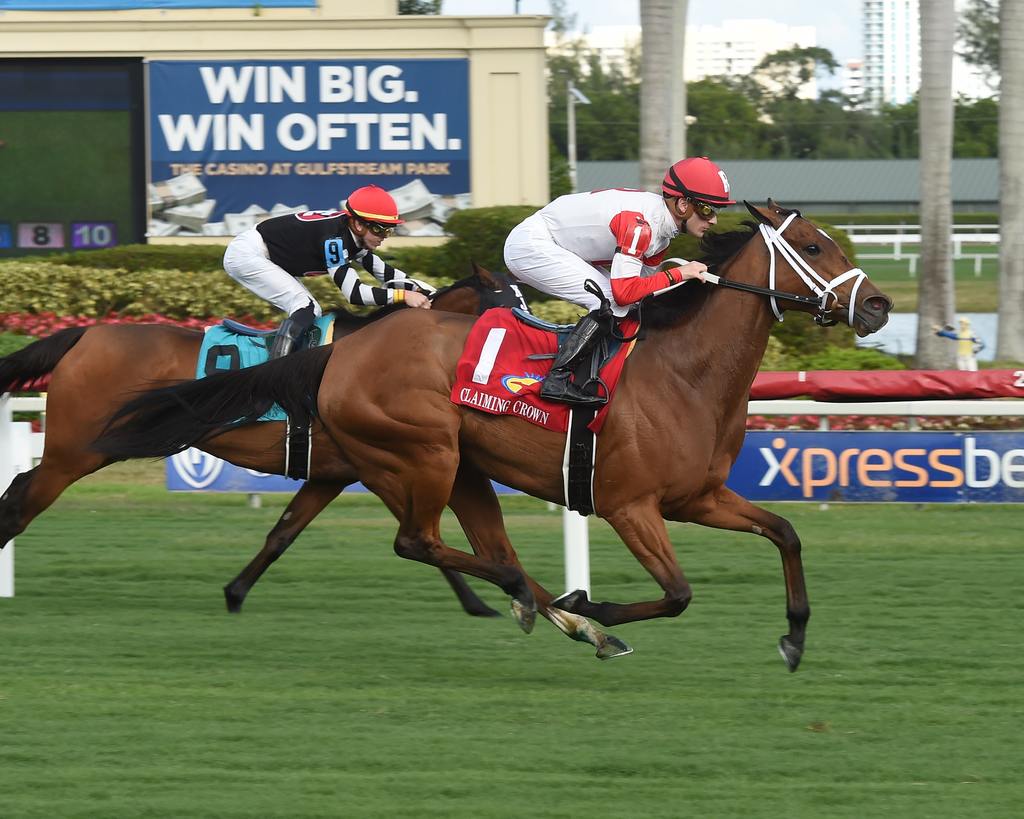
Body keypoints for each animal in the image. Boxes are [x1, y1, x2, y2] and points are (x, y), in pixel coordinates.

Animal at [0, 266, 524, 618]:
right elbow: (419, 535)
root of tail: (84, 335)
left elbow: (283, 533)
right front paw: (482, 601)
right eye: (508, 302)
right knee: (23, 501)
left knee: (19, 490)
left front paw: (235, 593)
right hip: (78, 450)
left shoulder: (334, 472)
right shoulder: (382, 467)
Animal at [97, 202, 897, 663]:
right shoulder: (630, 505)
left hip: (459, 465)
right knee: (418, 541)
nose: (880, 306)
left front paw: (794, 634)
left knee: (476, 545)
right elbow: (677, 592)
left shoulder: (696, 496)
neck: (681, 373)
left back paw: (551, 610)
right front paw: (597, 605)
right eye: (816, 247)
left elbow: (786, 532)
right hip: (424, 451)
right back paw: (557, 611)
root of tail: (339, 352)